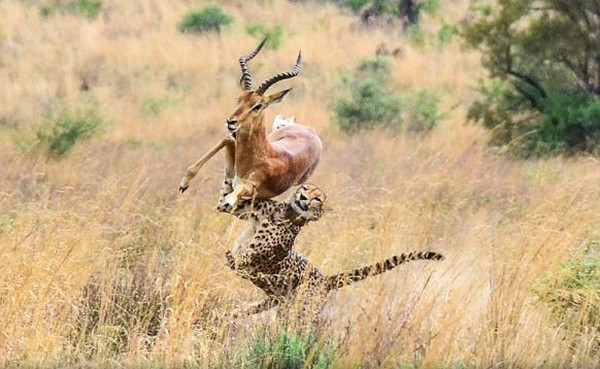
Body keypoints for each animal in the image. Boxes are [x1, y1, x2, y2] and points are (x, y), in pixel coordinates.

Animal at [218, 175, 442, 322]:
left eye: (318, 199)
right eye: (305, 188)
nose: (303, 198)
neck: (288, 213)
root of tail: (325, 278)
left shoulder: (253, 264)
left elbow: (239, 262)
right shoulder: (240, 211)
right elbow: (225, 198)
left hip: (300, 311)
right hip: (276, 300)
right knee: (250, 308)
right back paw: (230, 312)